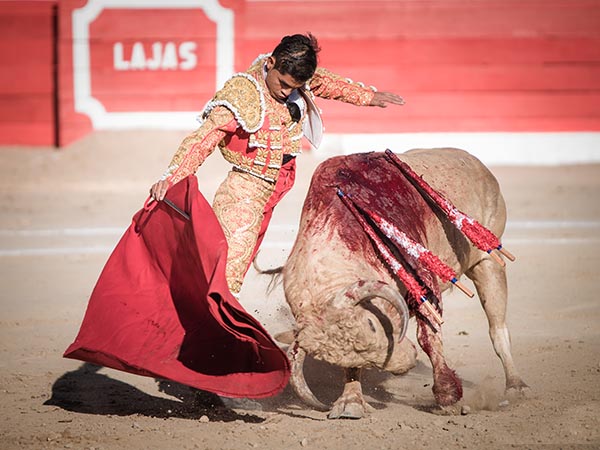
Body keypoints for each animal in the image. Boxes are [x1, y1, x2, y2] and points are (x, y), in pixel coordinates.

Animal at [278, 149, 528, 420]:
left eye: (372, 324)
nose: (407, 362)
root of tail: (479, 165)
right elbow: (351, 367)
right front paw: (350, 402)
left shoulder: (424, 282)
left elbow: (429, 336)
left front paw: (448, 397)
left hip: (487, 261)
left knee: (497, 328)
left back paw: (515, 388)